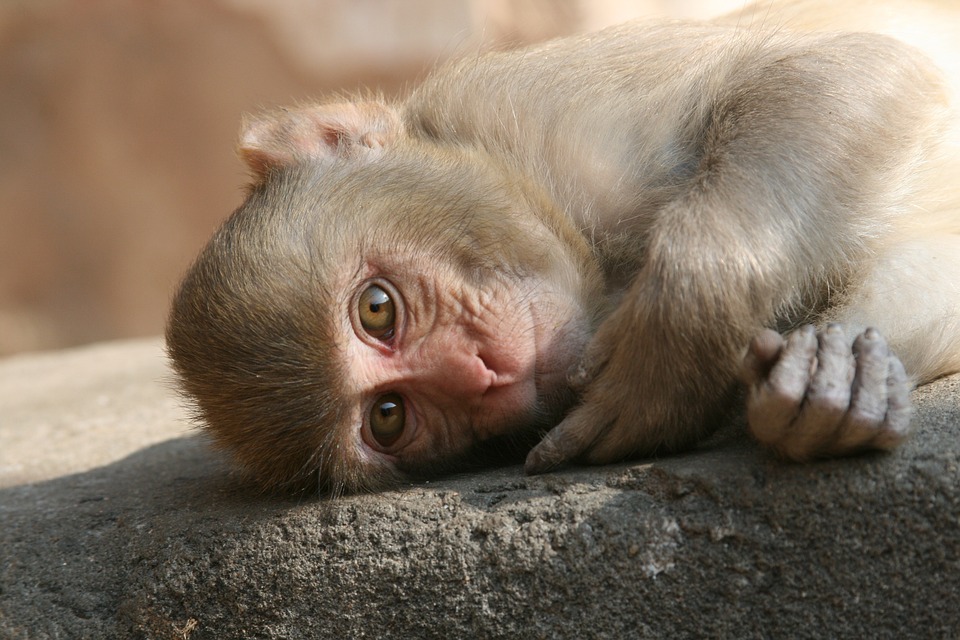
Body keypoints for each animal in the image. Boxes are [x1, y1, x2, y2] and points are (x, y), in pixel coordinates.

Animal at [165, 0, 960, 496]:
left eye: (377, 310)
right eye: (389, 417)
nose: (482, 373)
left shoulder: (544, 109)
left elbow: (857, 70)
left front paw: (678, 336)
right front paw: (839, 373)